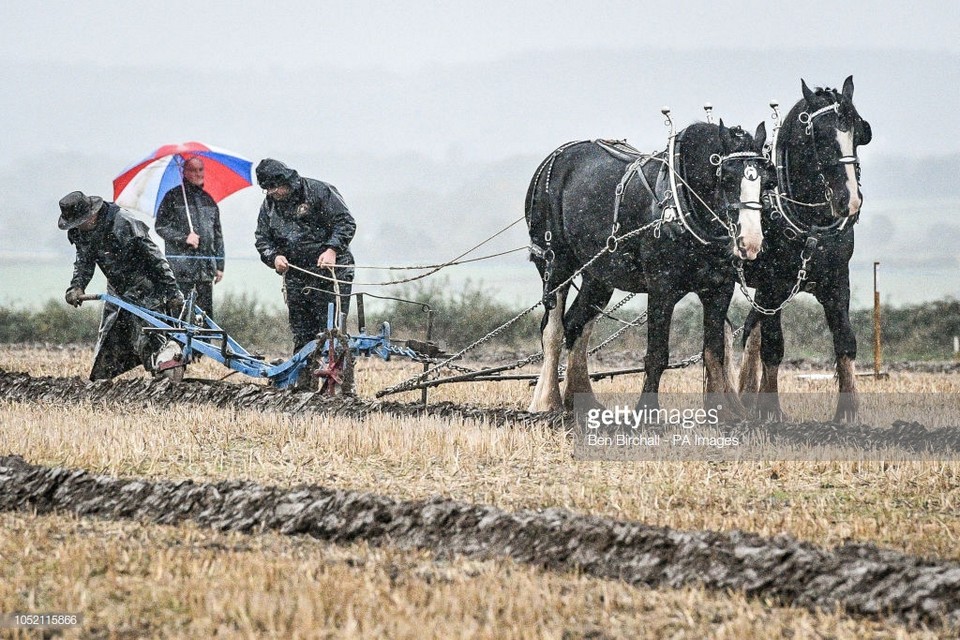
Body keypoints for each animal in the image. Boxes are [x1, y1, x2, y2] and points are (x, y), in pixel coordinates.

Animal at [528, 120, 768, 416]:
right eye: (727, 179)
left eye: (767, 179)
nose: (751, 242)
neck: (682, 202)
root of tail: (555, 158)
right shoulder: (661, 288)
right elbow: (657, 355)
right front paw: (647, 412)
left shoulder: (719, 289)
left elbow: (714, 353)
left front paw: (722, 413)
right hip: (555, 262)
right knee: (552, 330)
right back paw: (547, 401)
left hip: (599, 276)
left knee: (576, 324)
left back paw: (580, 399)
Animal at [740, 75, 872, 422]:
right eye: (820, 137)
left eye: (859, 132)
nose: (850, 200)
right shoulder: (772, 284)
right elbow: (774, 346)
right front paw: (771, 411)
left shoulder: (837, 281)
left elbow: (845, 340)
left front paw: (848, 413)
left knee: (750, 329)